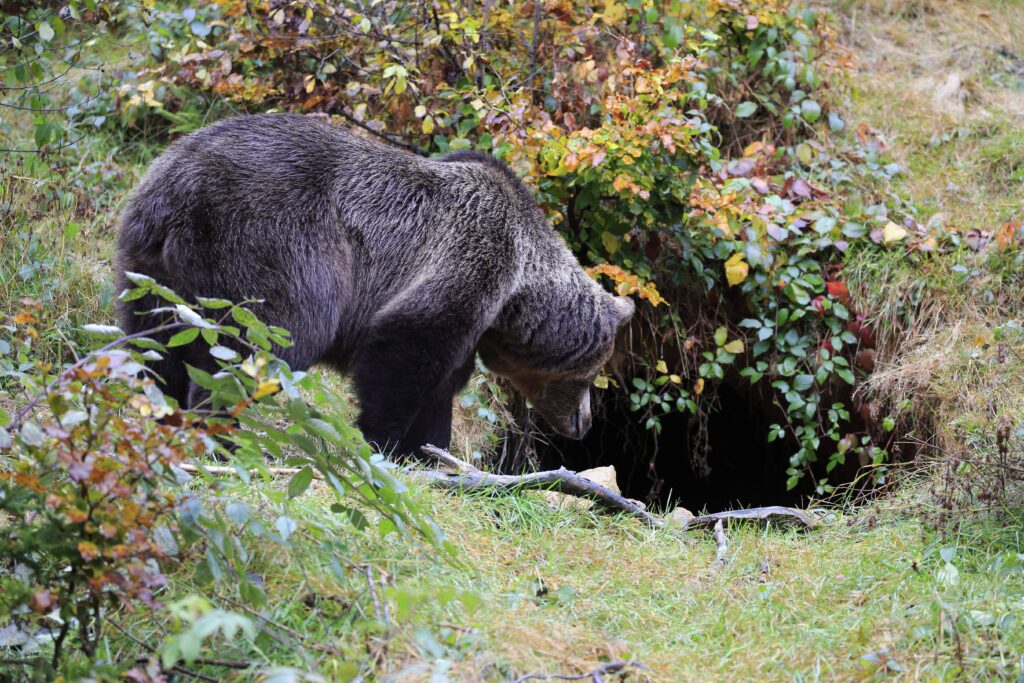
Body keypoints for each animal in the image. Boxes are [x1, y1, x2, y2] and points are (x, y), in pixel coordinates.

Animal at [117, 114, 630, 456]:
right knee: (261, 338)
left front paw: (429, 453)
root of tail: (177, 188)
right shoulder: (470, 258)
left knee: (155, 344)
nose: (583, 423)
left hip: (150, 268)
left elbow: (441, 386)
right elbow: (403, 353)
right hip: (274, 242)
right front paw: (380, 441)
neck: (517, 294)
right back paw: (219, 431)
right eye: (591, 376)